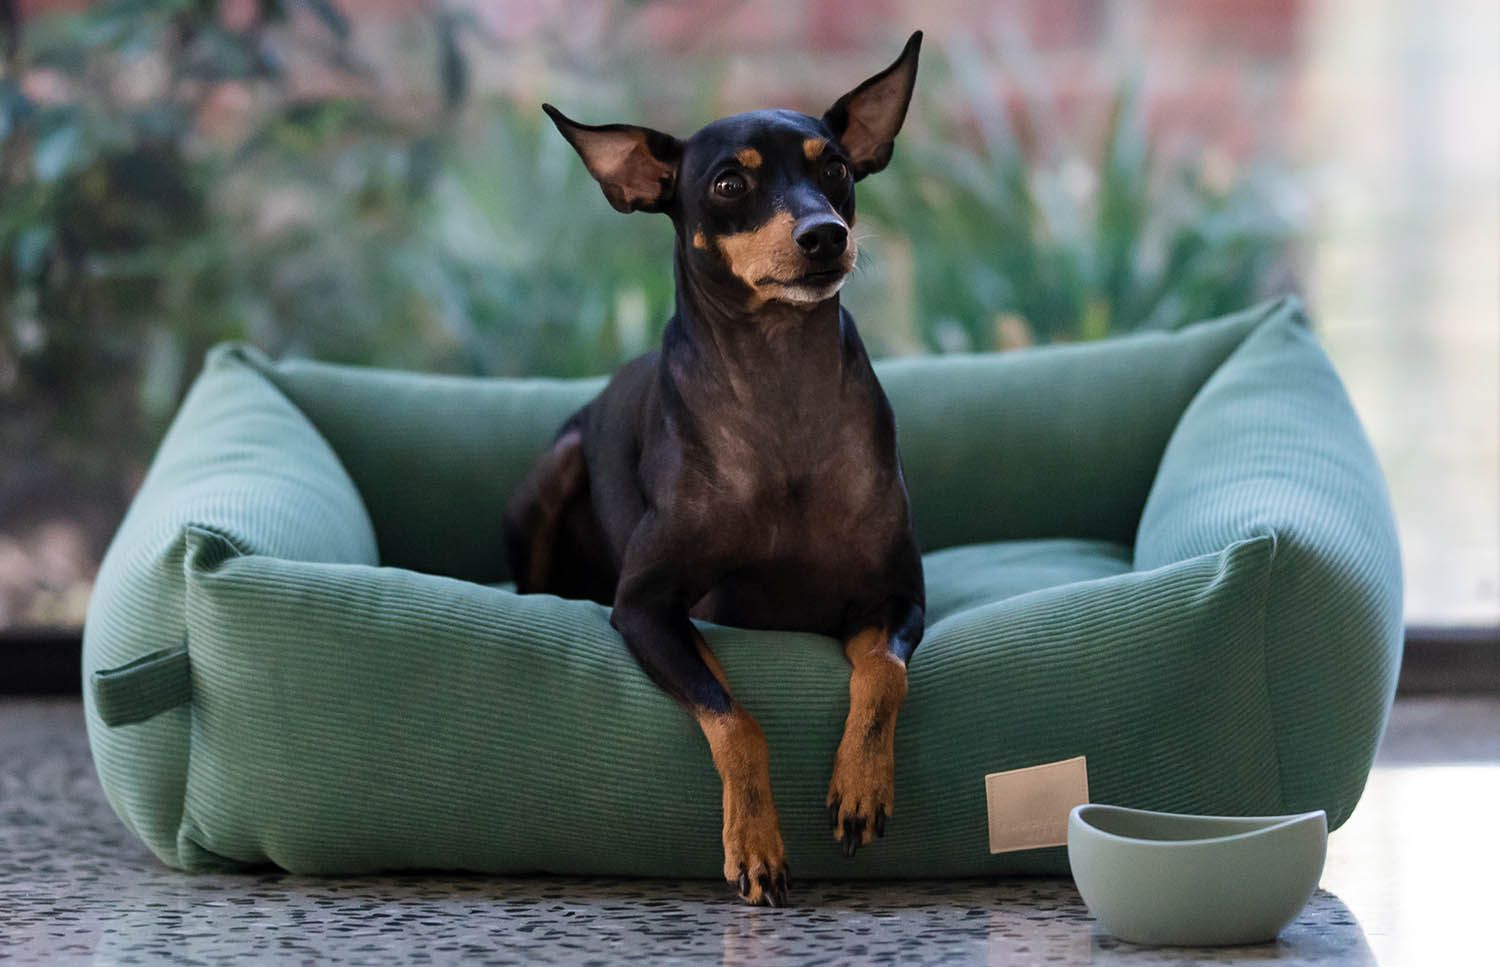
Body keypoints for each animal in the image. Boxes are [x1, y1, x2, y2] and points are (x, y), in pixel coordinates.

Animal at [504, 32, 925, 907]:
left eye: (836, 169)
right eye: (731, 183)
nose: (825, 235)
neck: (780, 389)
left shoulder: (899, 596)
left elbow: (882, 676)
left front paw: (861, 785)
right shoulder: (644, 608)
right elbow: (734, 714)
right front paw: (755, 842)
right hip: (558, 466)